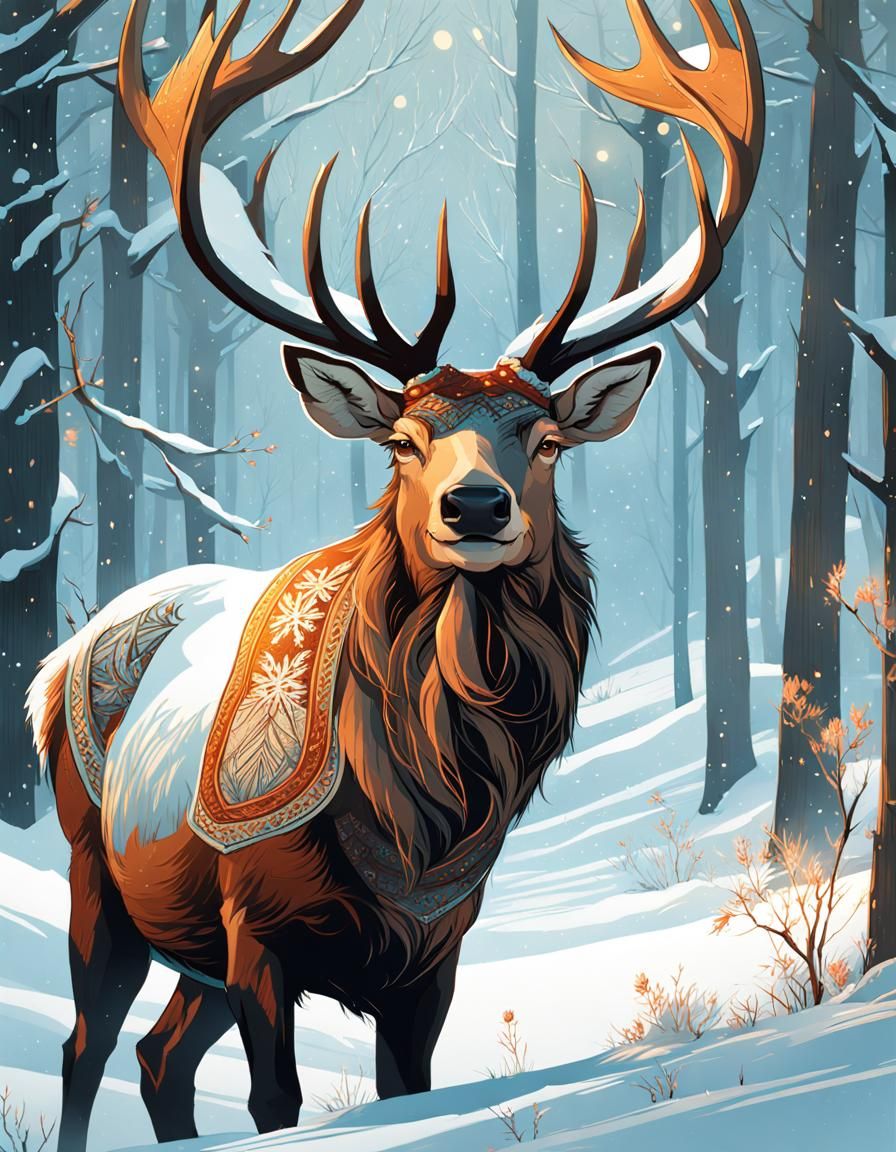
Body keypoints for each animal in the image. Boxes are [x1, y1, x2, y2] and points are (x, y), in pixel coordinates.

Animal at [26, 1, 763, 1149]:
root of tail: (56, 665)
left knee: (157, 1058)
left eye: (545, 439)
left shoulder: (436, 950)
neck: (422, 809)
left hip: (186, 940)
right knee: (87, 1045)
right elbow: (276, 1104)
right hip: (97, 872)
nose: (476, 506)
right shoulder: (256, 922)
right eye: (405, 442)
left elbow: (406, 1092)